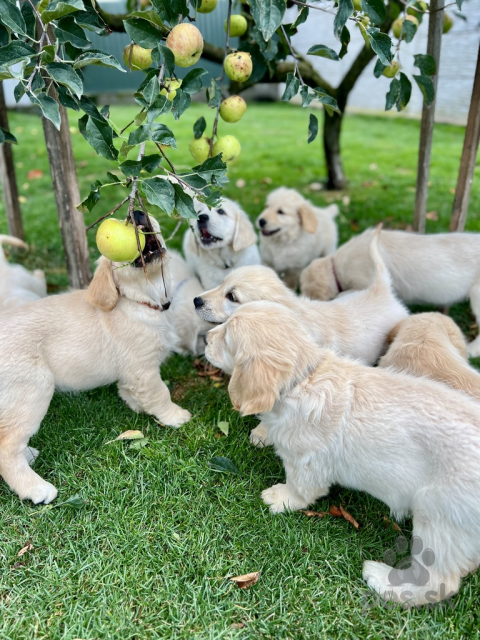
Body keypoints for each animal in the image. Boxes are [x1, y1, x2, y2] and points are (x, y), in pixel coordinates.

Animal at [0, 214, 191, 504]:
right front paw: (175, 416)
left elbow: (132, 391)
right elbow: (160, 393)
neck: (141, 302)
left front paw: (136, 404)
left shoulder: (133, 371)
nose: (136, 214)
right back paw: (36, 489)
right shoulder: (143, 368)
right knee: (7, 447)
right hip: (31, 392)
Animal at [204, 302, 480, 608]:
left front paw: (280, 497)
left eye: (227, 338)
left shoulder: (306, 461)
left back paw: (382, 580)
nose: (204, 339)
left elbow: (301, 488)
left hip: (438, 516)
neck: (303, 378)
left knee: (439, 580)